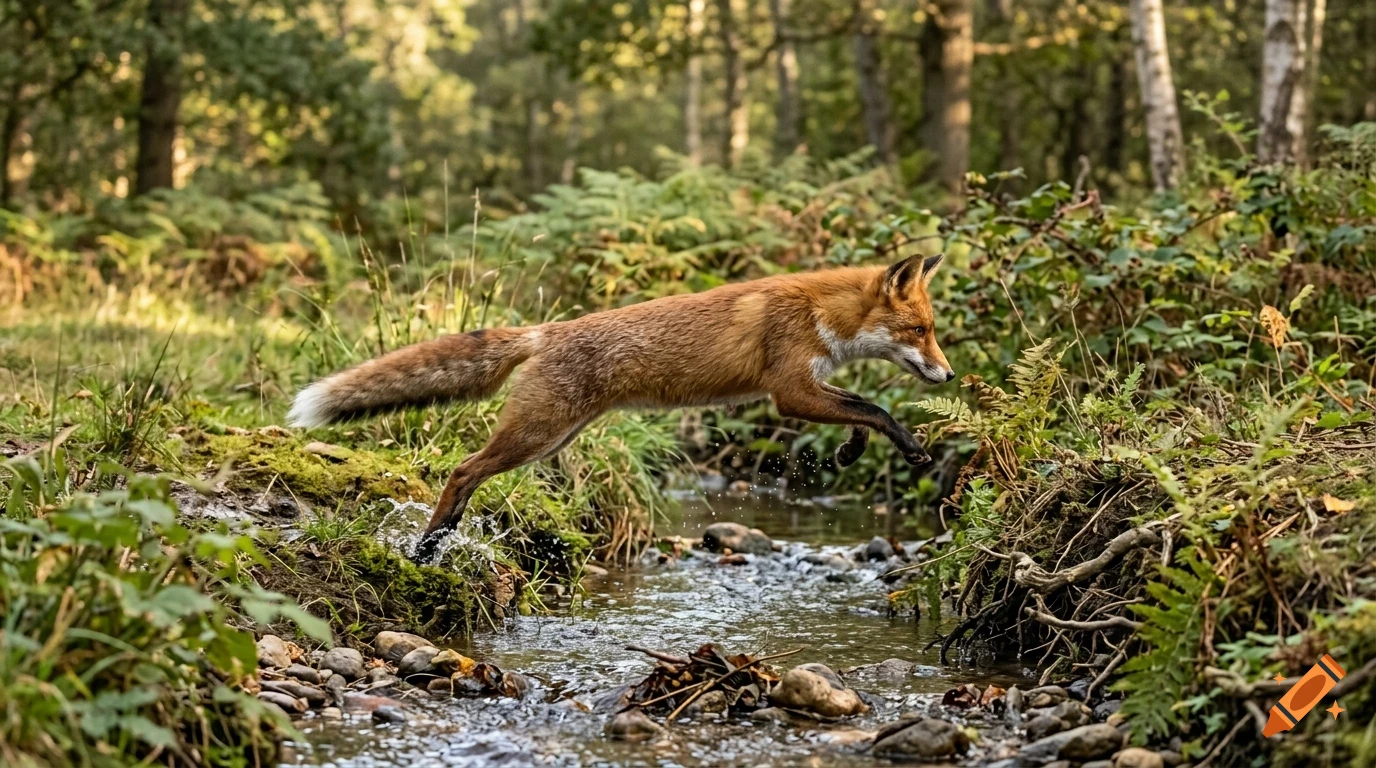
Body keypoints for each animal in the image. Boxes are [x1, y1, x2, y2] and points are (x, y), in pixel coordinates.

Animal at [288, 253, 954, 562]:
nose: (949, 374)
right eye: (920, 331)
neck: (821, 311)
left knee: (470, 472)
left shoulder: (808, 390)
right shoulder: (789, 390)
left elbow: (861, 410)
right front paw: (911, 447)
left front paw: (851, 450)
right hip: (537, 433)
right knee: (461, 470)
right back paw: (430, 546)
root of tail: (548, 330)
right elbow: (875, 407)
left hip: (553, 438)